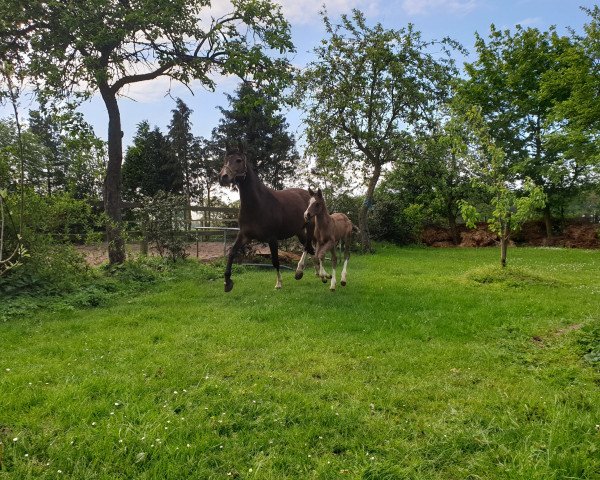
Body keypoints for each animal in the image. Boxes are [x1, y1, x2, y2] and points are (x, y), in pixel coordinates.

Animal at [219, 144, 314, 290]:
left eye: (238, 160)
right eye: (225, 160)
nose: (223, 177)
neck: (258, 204)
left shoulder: (272, 238)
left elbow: (275, 261)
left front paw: (279, 283)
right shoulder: (244, 235)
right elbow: (232, 253)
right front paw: (227, 282)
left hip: (309, 228)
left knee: (309, 247)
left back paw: (304, 271)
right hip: (299, 231)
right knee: (310, 248)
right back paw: (308, 272)